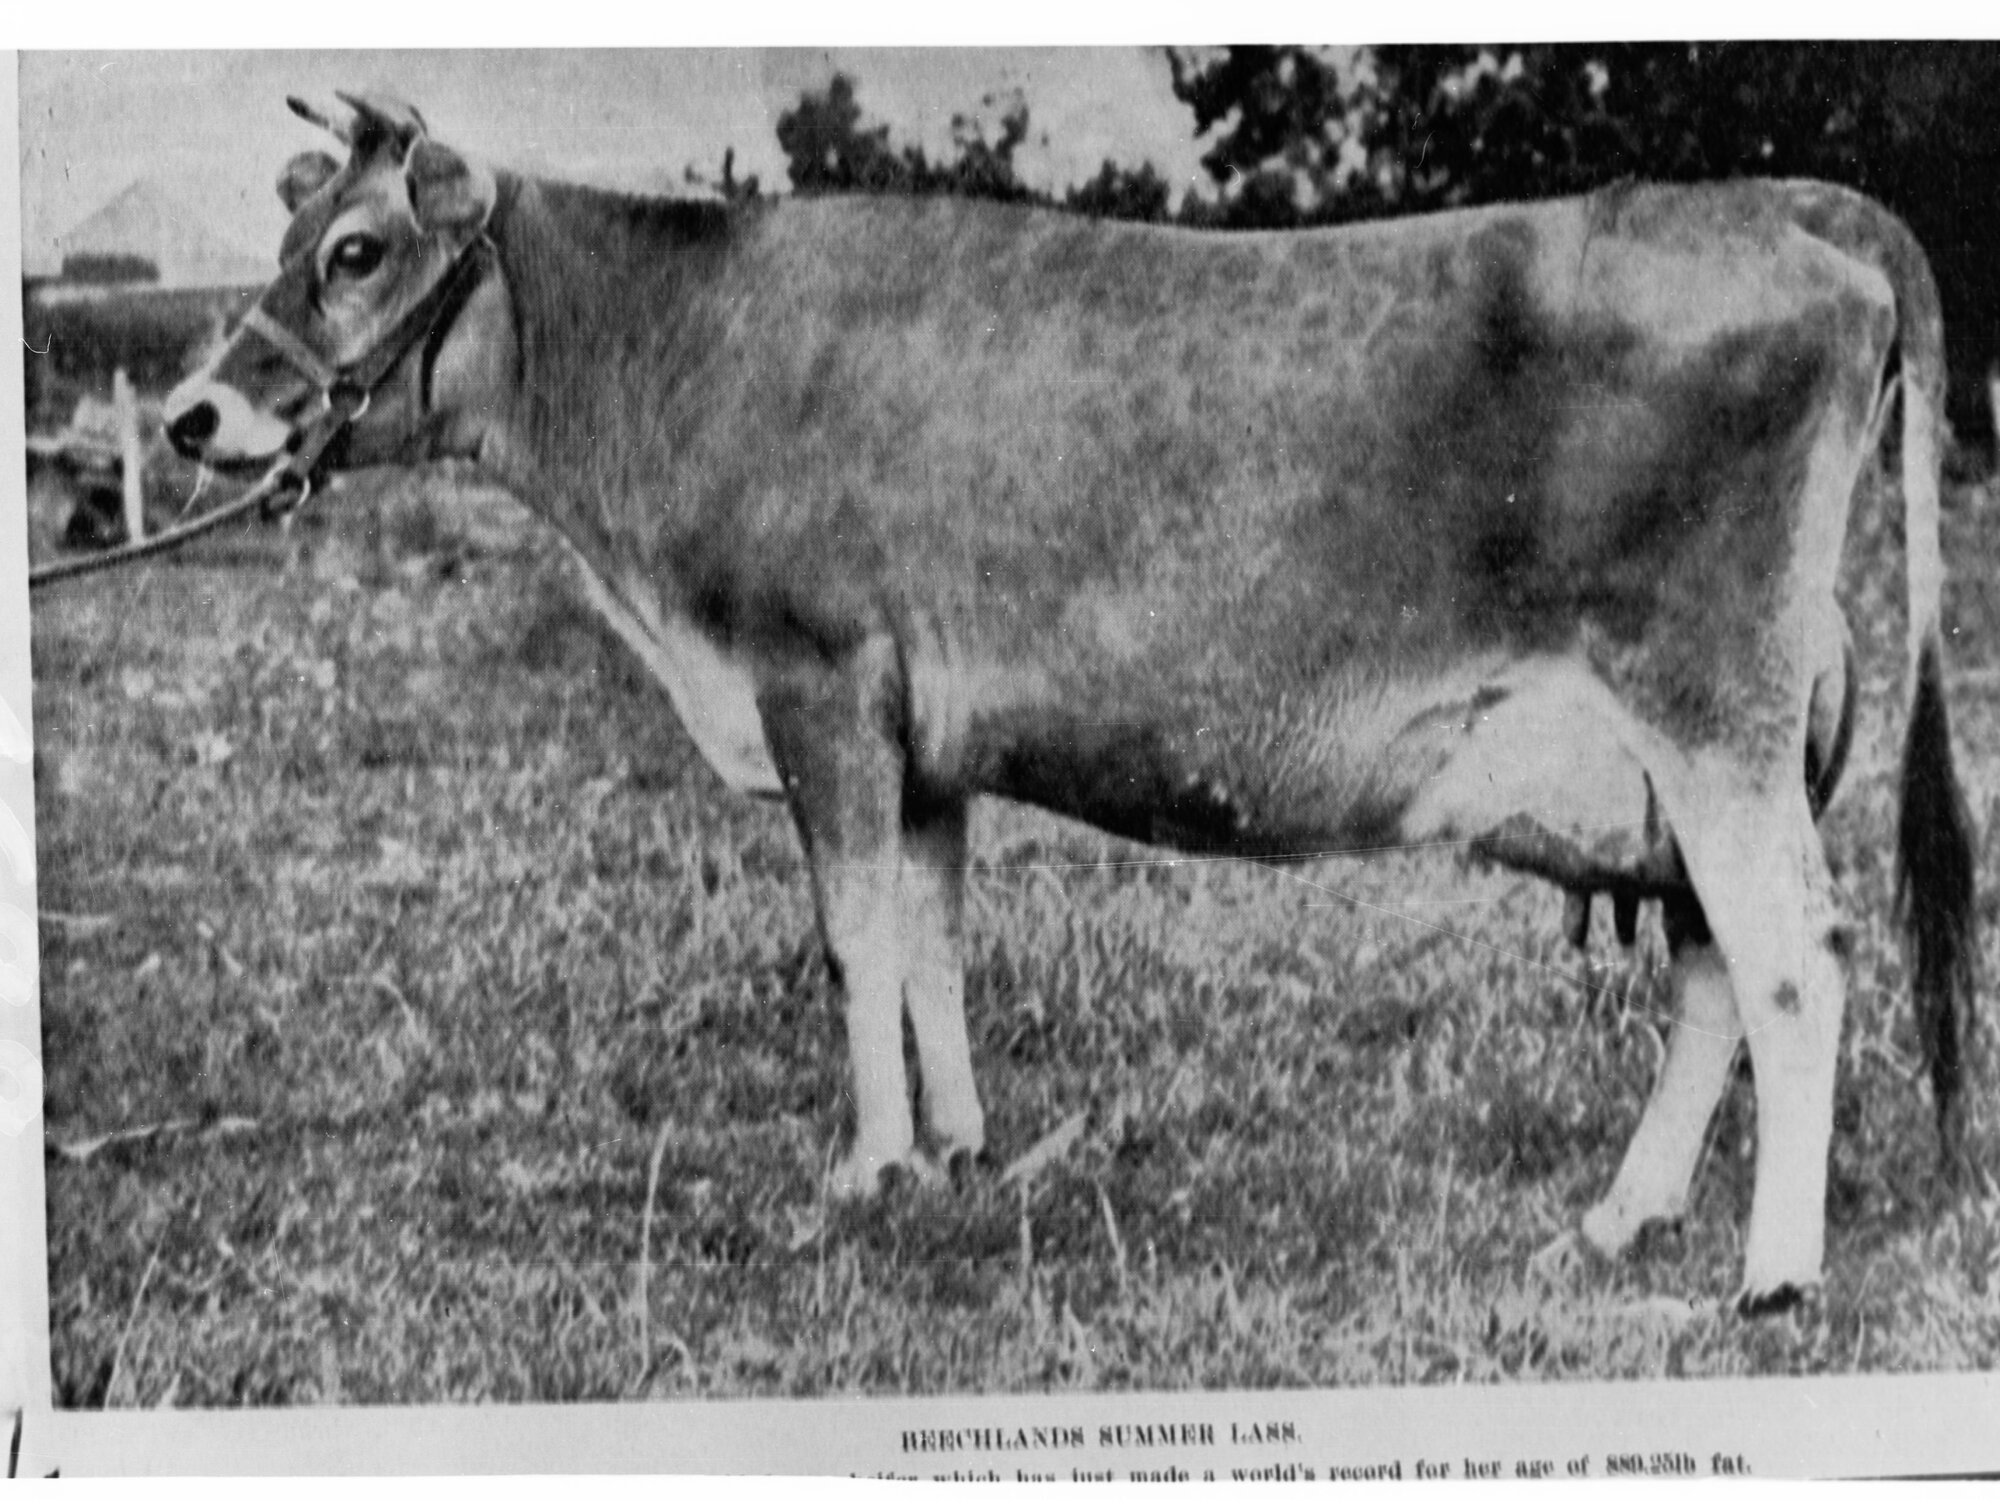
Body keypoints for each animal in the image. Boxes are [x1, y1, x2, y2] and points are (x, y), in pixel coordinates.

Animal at [164, 91, 1975, 1316]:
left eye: (355, 252)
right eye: (291, 241)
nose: (190, 414)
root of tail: (1789, 207)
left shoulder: (819, 680)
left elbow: (852, 939)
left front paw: (866, 1170)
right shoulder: (923, 738)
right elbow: (930, 933)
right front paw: (960, 1147)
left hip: (1710, 705)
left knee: (1796, 958)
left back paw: (1773, 1274)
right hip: (1706, 748)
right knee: (1715, 966)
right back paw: (1626, 1216)